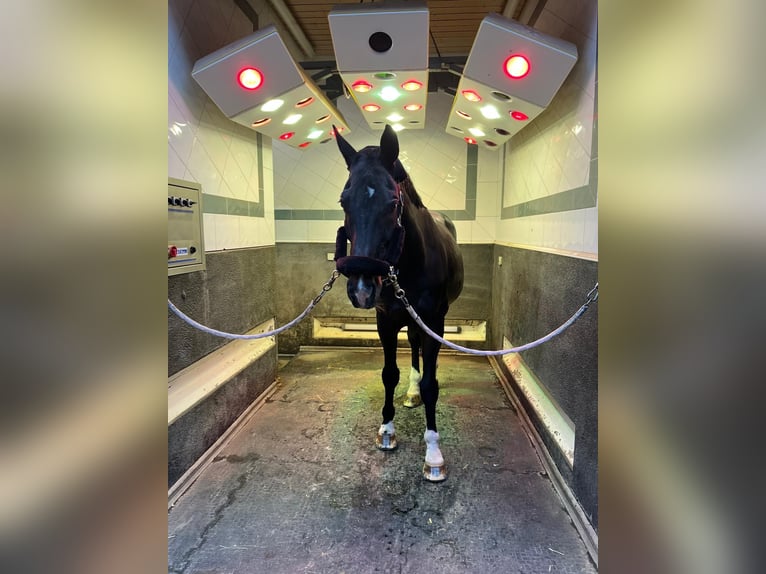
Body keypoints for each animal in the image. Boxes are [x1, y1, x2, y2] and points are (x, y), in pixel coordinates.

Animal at [333, 124, 464, 481]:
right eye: (344, 200)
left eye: (393, 203)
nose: (361, 287)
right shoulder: (386, 321)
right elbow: (389, 374)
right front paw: (387, 430)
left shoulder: (434, 321)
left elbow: (433, 384)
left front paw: (433, 454)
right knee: (414, 347)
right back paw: (411, 391)